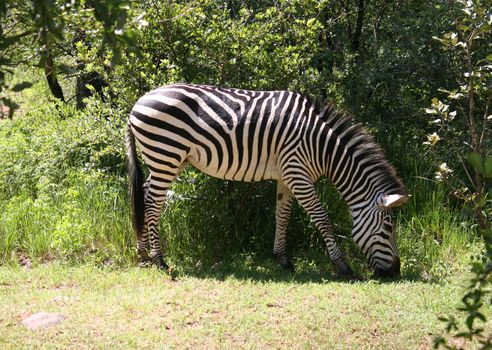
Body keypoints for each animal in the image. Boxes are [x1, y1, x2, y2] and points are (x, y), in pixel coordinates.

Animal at [126, 83, 408, 278]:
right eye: (388, 229)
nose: (395, 271)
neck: (323, 148)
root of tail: (137, 103)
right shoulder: (298, 174)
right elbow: (322, 219)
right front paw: (343, 266)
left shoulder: (287, 175)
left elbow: (282, 216)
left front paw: (283, 260)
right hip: (166, 154)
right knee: (153, 203)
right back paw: (159, 259)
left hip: (169, 160)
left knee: (146, 194)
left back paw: (143, 253)